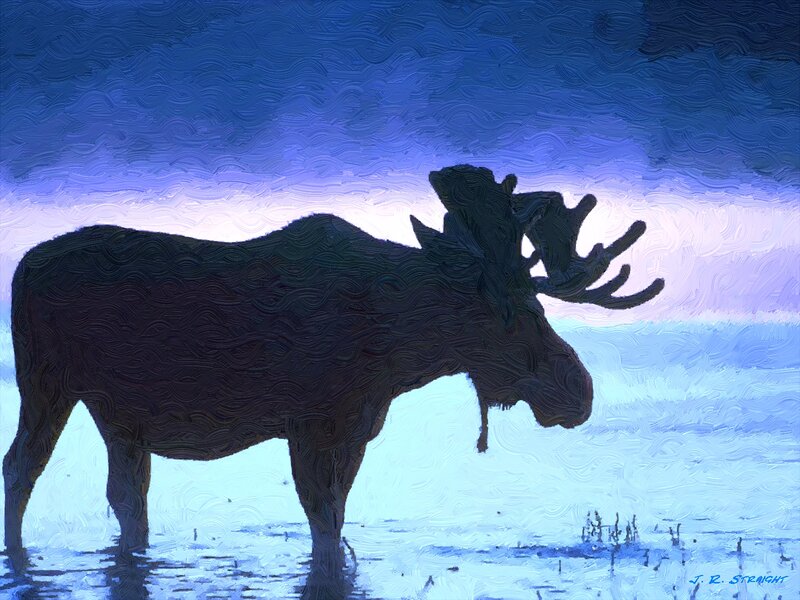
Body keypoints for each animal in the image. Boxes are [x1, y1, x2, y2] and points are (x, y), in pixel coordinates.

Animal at [4, 165, 663, 580]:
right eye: (512, 312)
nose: (578, 391)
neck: (396, 347)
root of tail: (21, 268)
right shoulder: (311, 423)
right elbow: (323, 528)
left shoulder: (354, 428)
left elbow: (338, 524)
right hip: (47, 383)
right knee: (22, 468)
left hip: (120, 416)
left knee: (126, 497)